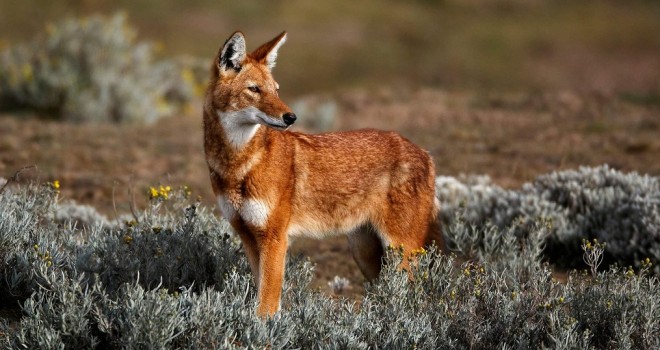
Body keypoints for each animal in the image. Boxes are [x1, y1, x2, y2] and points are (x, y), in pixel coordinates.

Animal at [204, 31, 446, 318]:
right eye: (254, 89)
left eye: (276, 89)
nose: (291, 117)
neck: (238, 166)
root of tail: (425, 152)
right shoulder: (249, 238)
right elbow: (262, 296)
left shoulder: (275, 239)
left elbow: (267, 306)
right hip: (365, 253)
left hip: (400, 251)